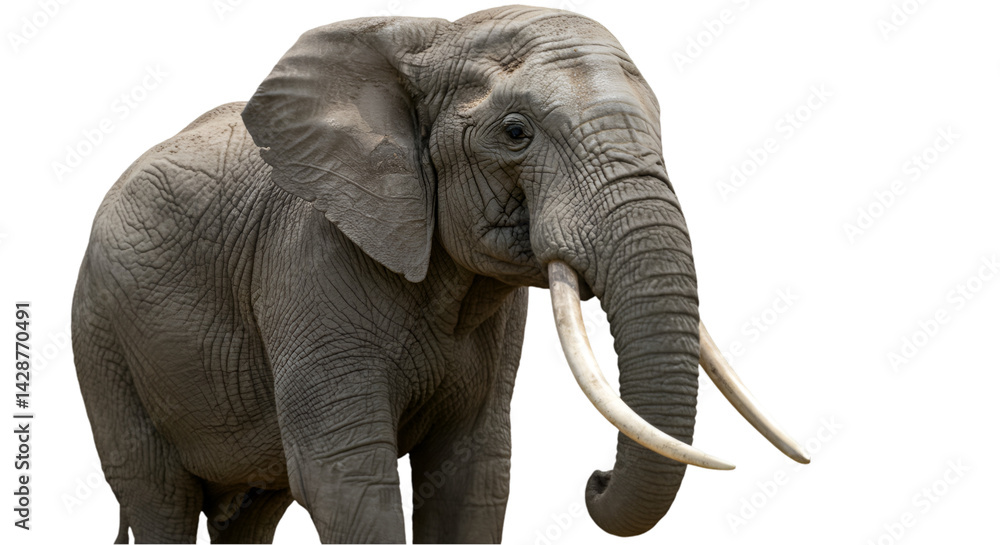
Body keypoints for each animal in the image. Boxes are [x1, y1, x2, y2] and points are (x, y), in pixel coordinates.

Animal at [71, 5, 808, 543]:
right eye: (515, 132)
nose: (595, 479)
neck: (431, 38)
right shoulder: (307, 261)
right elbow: (345, 480)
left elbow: (471, 476)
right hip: (103, 342)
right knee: (159, 497)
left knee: (251, 514)